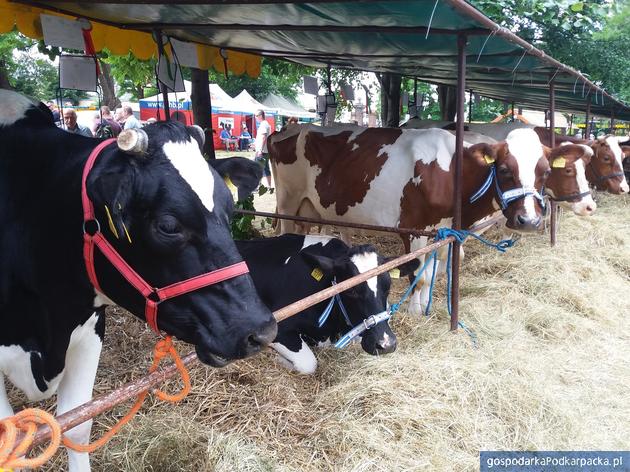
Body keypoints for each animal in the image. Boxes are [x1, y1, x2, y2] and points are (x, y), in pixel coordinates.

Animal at [237, 234, 420, 374]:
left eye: (388, 287)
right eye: (351, 290)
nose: (386, 344)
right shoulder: (277, 327)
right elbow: (309, 363)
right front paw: (279, 359)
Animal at [270, 124, 552, 314]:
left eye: (546, 172)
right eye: (504, 169)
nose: (529, 220)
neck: (451, 171)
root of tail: (290, 127)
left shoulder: (442, 232)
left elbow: (433, 268)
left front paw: (425, 304)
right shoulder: (414, 228)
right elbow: (419, 273)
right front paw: (415, 310)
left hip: (308, 209)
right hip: (288, 201)